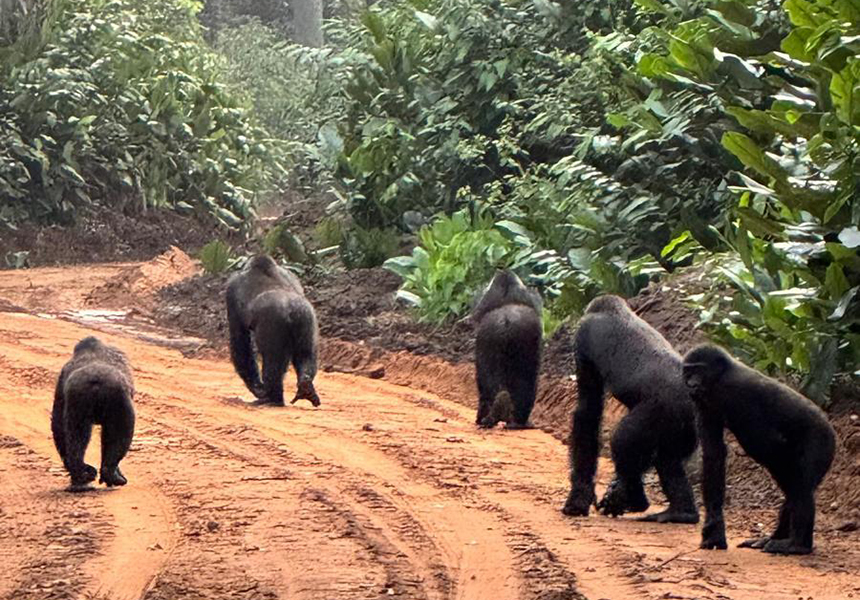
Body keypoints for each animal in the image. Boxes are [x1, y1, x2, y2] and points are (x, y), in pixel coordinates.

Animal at [51, 336, 135, 490]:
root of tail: (97, 381)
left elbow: (58, 426)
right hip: (117, 400)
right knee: (120, 436)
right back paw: (109, 475)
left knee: (75, 437)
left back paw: (80, 475)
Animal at [226, 254, 320, 407]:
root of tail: (291, 307)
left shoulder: (231, 288)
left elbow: (240, 341)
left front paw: (257, 388)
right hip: (306, 315)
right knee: (306, 353)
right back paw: (306, 386)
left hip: (274, 321)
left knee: (272, 362)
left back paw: (272, 398)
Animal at [472, 269, 542, 429]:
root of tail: (506, 322)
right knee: (525, 386)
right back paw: (519, 422)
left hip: (487, 356)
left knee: (488, 388)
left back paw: (485, 418)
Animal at [562, 295, 699, 524]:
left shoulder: (583, 335)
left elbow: (588, 411)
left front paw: (578, 499)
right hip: (687, 427)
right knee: (667, 459)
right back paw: (682, 512)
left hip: (662, 411)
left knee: (623, 441)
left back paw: (635, 500)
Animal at [682, 344, 836, 555]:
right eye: (688, 372)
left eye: (699, 370)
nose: (691, 383)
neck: (720, 377)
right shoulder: (703, 403)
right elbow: (714, 455)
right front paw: (714, 529)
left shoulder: (738, 391)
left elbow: (765, 441)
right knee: (793, 488)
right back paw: (775, 537)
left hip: (821, 442)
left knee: (800, 486)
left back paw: (797, 545)